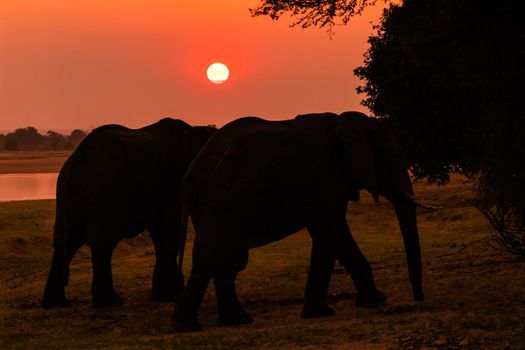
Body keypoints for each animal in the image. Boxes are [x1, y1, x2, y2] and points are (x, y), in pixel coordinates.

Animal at [40, 118, 214, 308]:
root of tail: (75, 163)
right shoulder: (173, 182)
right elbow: (169, 233)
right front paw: (167, 296)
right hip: (104, 194)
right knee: (102, 243)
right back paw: (110, 302)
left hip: (67, 197)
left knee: (65, 242)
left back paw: (55, 303)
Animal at [170, 111, 424, 330]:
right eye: (397, 154)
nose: (418, 299)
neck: (343, 121)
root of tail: (188, 180)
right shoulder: (324, 177)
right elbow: (331, 231)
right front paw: (370, 302)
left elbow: (329, 236)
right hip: (225, 201)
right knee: (213, 255)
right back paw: (187, 326)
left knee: (229, 258)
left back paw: (236, 321)